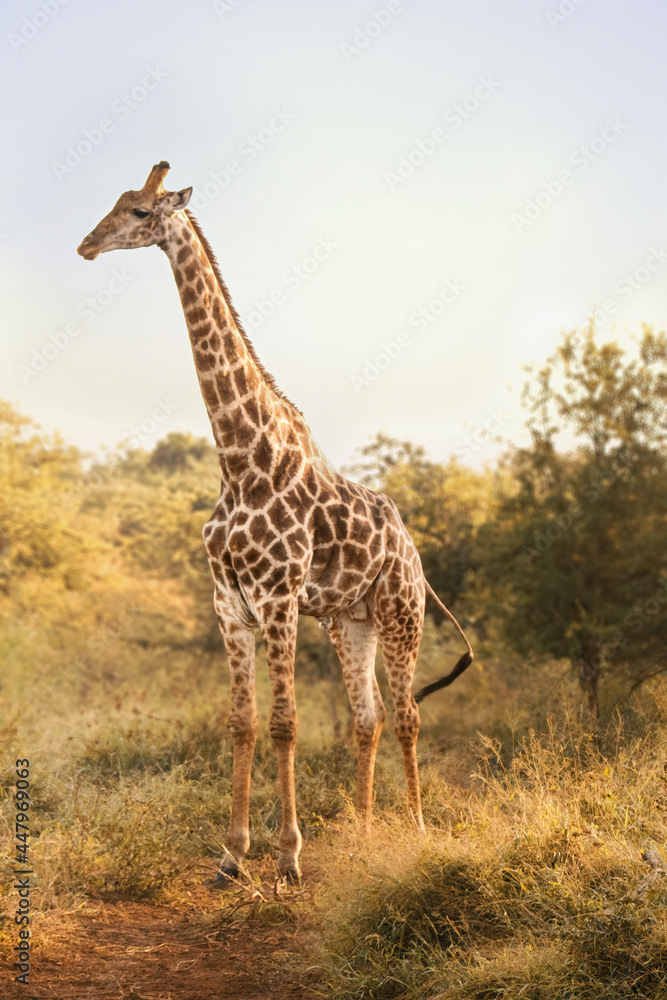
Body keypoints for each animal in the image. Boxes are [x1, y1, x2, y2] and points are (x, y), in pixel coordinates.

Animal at [77, 162, 474, 882]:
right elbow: (242, 722)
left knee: (407, 714)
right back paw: (364, 830)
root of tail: (412, 551)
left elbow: (286, 722)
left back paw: (416, 828)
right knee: (367, 715)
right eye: (117, 202)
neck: (239, 460)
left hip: (401, 613)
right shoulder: (228, 602)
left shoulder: (279, 596)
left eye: (143, 212)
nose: (87, 244)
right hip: (349, 621)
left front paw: (288, 856)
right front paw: (232, 855)